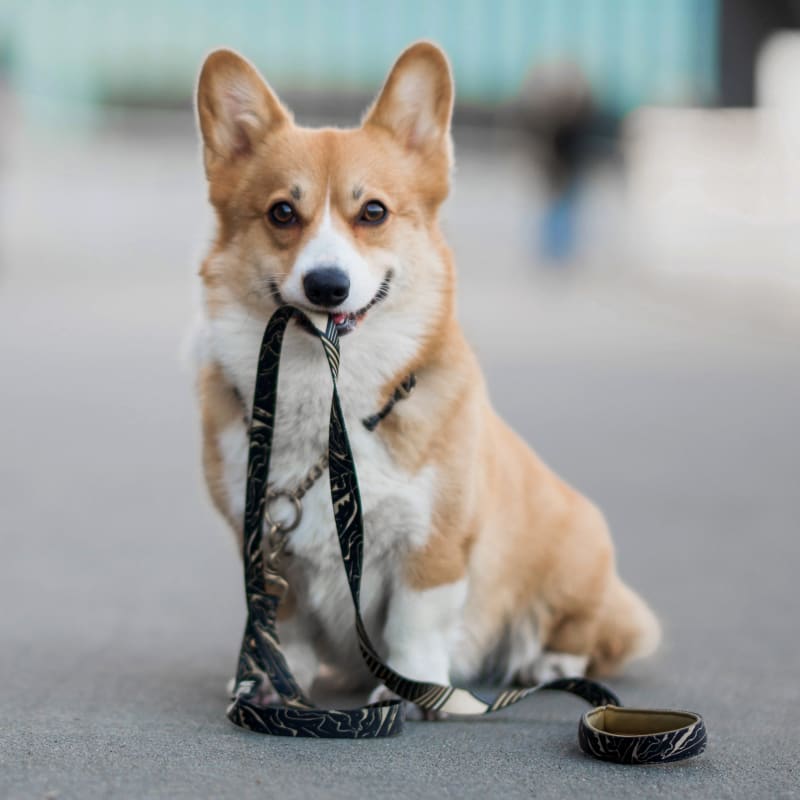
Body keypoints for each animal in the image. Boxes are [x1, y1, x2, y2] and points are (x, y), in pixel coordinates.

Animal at [192, 42, 656, 708]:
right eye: (282, 212)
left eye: (373, 212)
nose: (326, 285)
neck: (330, 403)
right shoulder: (265, 547)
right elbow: (287, 622)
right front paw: (277, 683)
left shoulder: (435, 545)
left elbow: (415, 624)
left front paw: (411, 692)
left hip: (575, 554)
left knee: (594, 632)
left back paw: (546, 662)